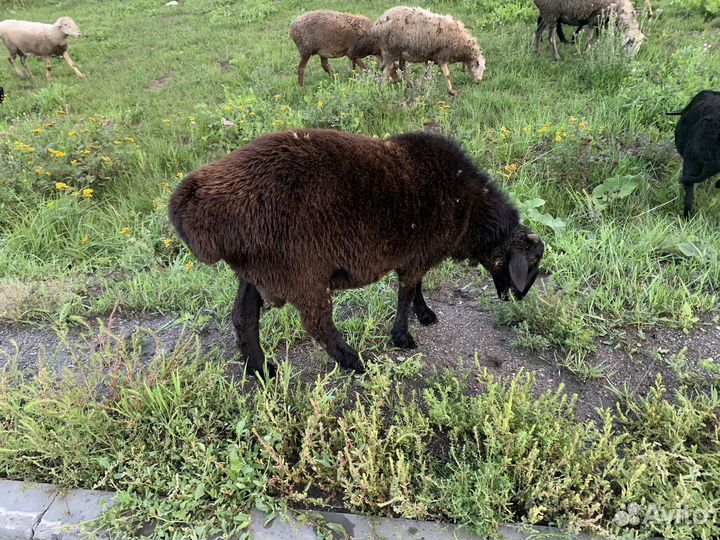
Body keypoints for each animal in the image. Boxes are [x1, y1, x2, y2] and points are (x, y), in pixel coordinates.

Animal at [169, 129, 545, 377]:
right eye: (531, 263)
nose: (516, 298)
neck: (468, 206)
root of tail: (194, 203)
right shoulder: (418, 255)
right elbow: (406, 292)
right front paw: (403, 336)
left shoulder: (416, 254)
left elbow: (416, 288)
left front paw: (425, 315)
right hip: (298, 271)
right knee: (317, 324)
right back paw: (354, 361)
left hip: (255, 270)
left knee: (244, 318)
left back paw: (261, 370)